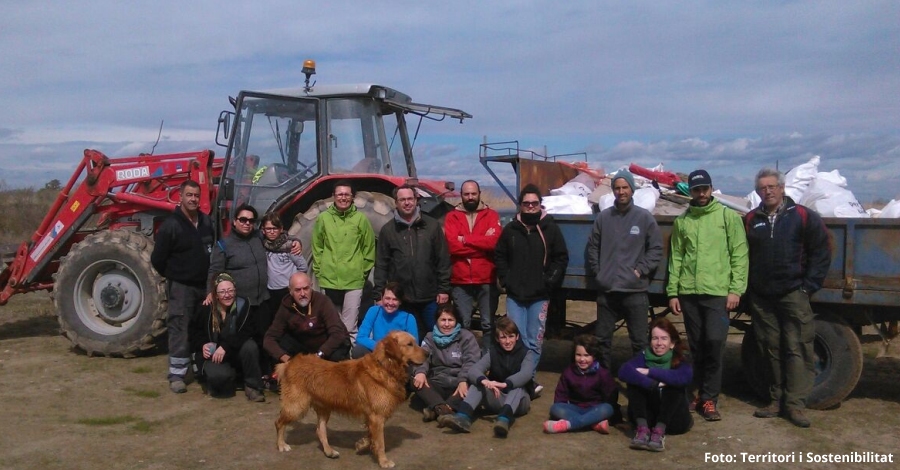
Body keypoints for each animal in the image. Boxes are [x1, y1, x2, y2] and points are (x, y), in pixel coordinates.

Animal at [274, 330, 426, 466]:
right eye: (410, 344)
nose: (428, 354)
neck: (385, 366)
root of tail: (290, 363)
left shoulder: (372, 417)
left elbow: (371, 436)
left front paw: (362, 444)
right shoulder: (377, 416)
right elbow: (380, 442)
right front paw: (383, 462)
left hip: (324, 408)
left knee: (320, 431)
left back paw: (329, 451)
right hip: (297, 406)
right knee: (279, 422)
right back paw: (281, 445)